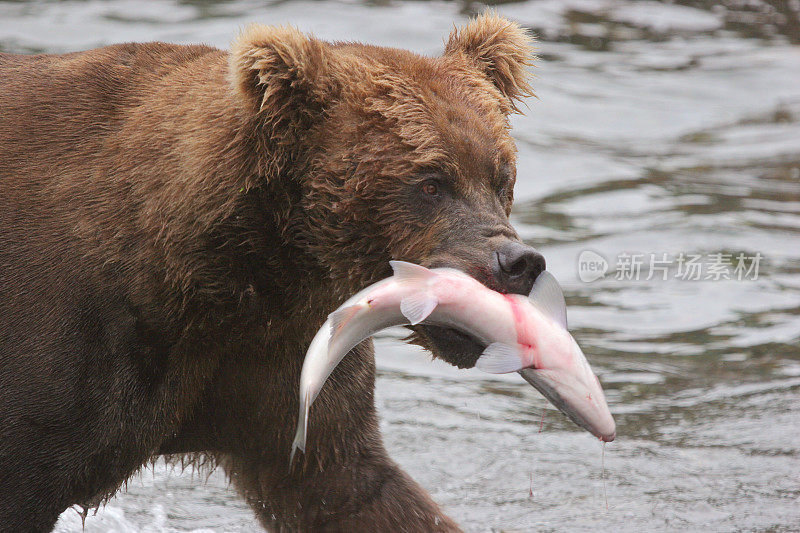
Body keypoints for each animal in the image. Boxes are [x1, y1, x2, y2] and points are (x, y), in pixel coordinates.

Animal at [0, 13, 544, 532]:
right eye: (430, 182)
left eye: (501, 179)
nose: (517, 263)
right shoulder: (68, 350)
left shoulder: (281, 357)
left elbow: (348, 488)